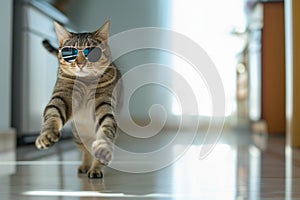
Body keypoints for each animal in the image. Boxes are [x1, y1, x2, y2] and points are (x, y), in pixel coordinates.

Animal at [36, 20, 122, 179]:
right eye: (70, 52)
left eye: (92, 52)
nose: (81, 63)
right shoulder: (61, 97)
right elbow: (52, 115)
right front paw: (46, 135)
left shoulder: (105, 105)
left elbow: (106, 130)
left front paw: (102, 153)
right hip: (77, 133)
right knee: (85, 150)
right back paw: (85, 166)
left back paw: (95, 169)